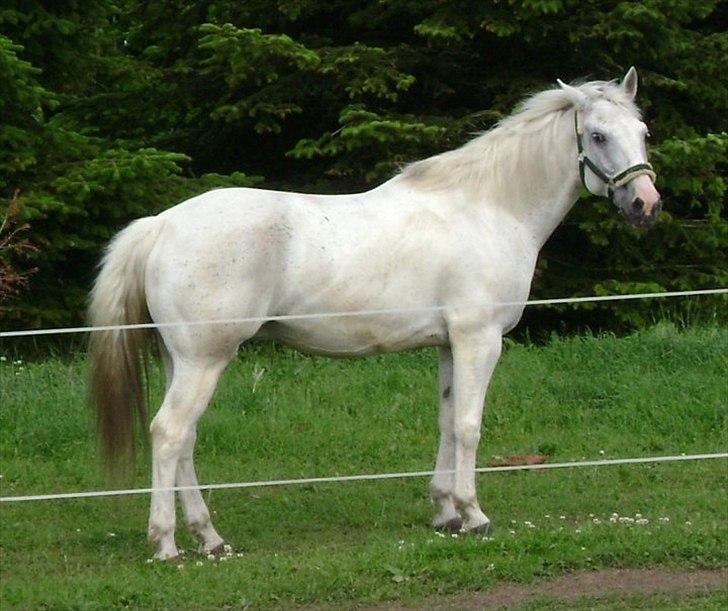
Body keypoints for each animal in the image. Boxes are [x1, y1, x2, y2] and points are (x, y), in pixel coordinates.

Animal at [89, 67, 660, 560]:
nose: (645, 204)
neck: (489, 208)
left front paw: (444, 513)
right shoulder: (479, 339)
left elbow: (447, 421)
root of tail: (162, 224)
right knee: (169, 433)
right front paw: (474, 515)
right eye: (598, 136)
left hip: (182, 360)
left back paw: (208, 537)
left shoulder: (449, 344)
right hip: (205, 360)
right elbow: (469, 425)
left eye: (643, 132)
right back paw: (167, 543)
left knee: (183, 440)